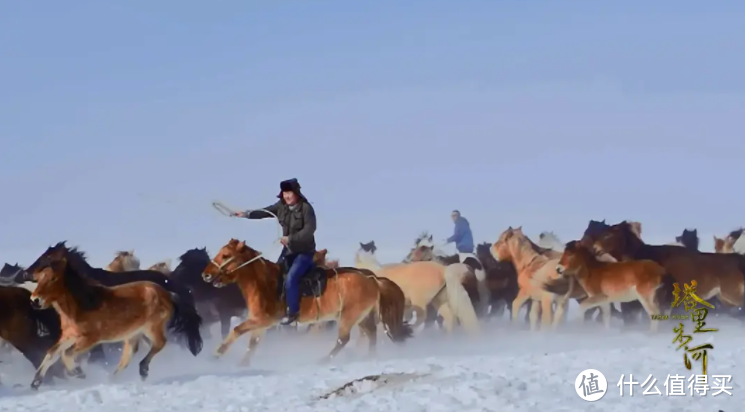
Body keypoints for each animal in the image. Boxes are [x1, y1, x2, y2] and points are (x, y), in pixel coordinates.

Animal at [27, 245, 202, 390]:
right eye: (40, 278)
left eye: (53, 279)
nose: (35, 300)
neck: (83, 304)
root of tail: (168, 293)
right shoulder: (69, 335)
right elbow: (52, 353)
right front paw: (35, 383)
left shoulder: (90, 339)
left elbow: (66, 354)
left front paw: (78, 372)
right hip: (133, 334)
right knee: (129, 355)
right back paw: (114, 379)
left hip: (151, 328)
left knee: (160, 344)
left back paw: (143, 370)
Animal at [202, 237, 412, 366]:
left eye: (226, 255)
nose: (205, 274)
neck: (265, 283)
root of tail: (372, 278)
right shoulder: (262, 323)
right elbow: (253, 342)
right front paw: (242, 364)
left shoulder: (263, 320)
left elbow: (238, 330)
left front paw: (217, 353)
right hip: (361, 317)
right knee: (371, 333)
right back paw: (370, 356)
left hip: (349, 317)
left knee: (343, 339)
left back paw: (325, 359)